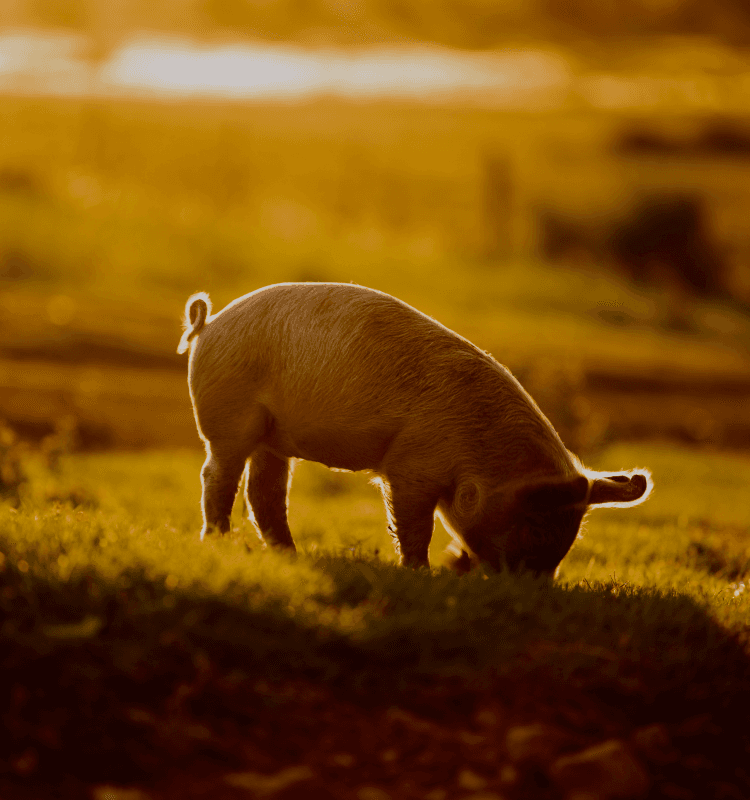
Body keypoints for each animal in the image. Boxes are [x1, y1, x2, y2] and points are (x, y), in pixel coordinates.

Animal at [178, 282, 652, 576]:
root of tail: (209, 324)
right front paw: (420, 571)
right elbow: (413, 524)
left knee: (265, 493)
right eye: (535, 527)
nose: (534, 588)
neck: (477, 450)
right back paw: (218, 542)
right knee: (216, 476)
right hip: (230, 416)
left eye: (569, 537)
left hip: (273, 439)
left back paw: (291, 555)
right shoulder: (411, 465)